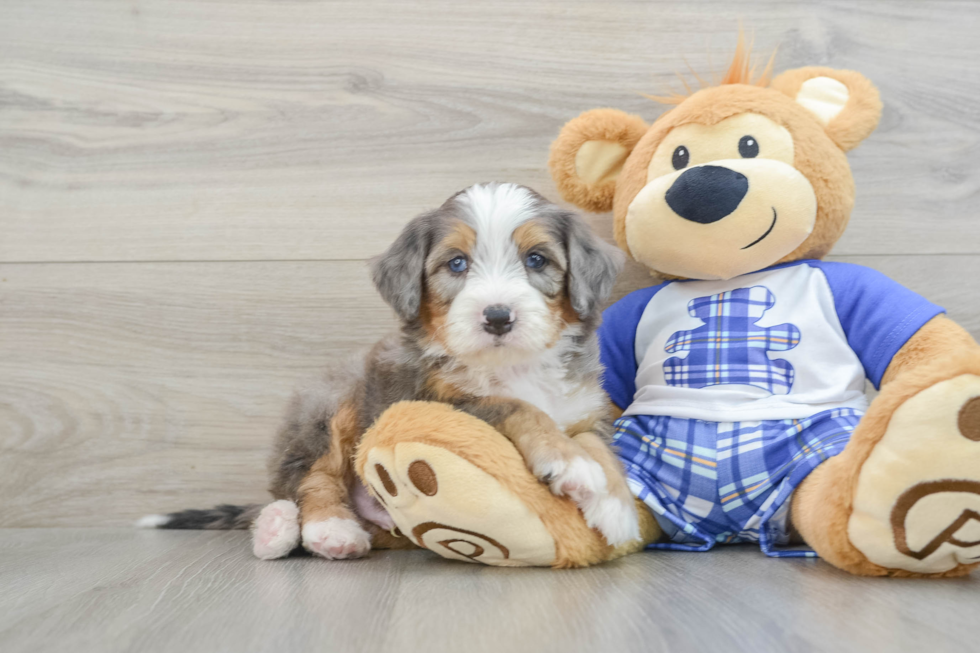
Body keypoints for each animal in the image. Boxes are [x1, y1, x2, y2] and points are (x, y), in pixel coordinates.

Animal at [142, 182, 640, 556]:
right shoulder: (434, 399)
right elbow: (517, 407)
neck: (514, 366)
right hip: (332, 401)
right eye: (456, 263)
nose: (498, 317)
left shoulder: (584, 408)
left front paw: (616, 508)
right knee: (309, 479)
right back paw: (309, 529)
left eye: (536, 259)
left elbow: (603, 450)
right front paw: (568, 462)